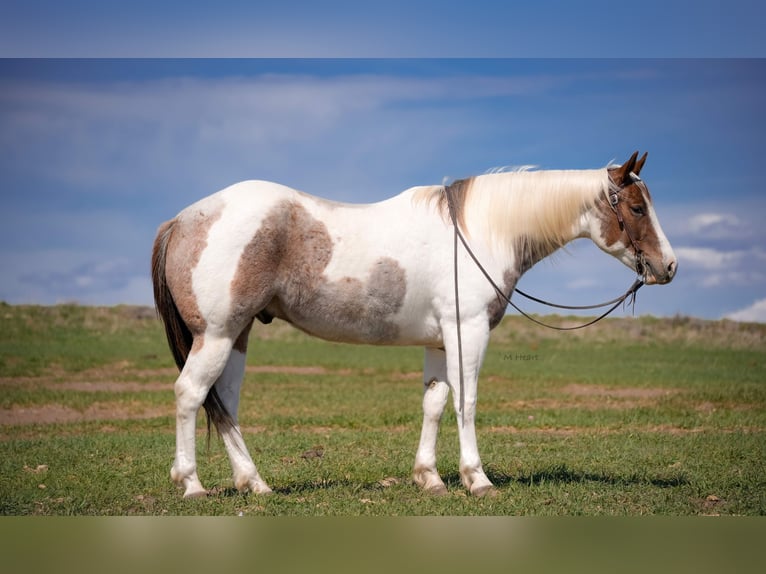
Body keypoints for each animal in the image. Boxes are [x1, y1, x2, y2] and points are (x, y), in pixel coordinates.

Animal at [151, 151, 677, 498]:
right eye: (635, 208)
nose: (668, 267)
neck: (480, 232)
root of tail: (183, 219)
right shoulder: (468, 332)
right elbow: (467, 402)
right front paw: (476, 479)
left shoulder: (441, 341)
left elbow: (435, 404)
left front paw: (430, 478)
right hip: (217, 336)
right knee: (190, 396)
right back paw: (192, 485)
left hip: (236, 337)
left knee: (224, 404)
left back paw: (255, 483)